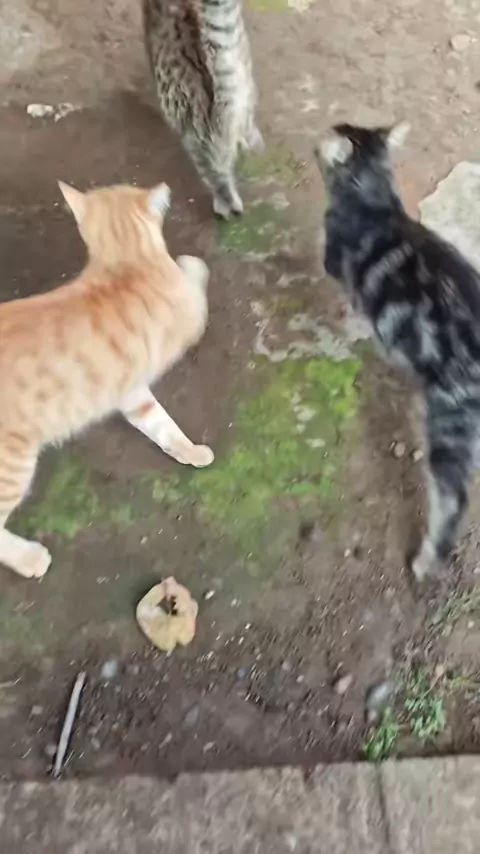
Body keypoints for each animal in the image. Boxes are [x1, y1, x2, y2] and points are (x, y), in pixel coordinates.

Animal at [0, 180, 213, 579]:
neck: (125, 264)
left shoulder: (132, 393)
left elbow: (162, 426)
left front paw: (189, 452)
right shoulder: (190, 319)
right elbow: (196, 280)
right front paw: (192, 264)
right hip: (11, 465)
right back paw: (28, 558)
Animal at [315, 121, 480, 581]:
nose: (318, 142)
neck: (375, 200)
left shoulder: (340, 268)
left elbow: (355, 306)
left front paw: (352, 326)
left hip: (450, 425)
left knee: (451, 501)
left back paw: (425, 562)